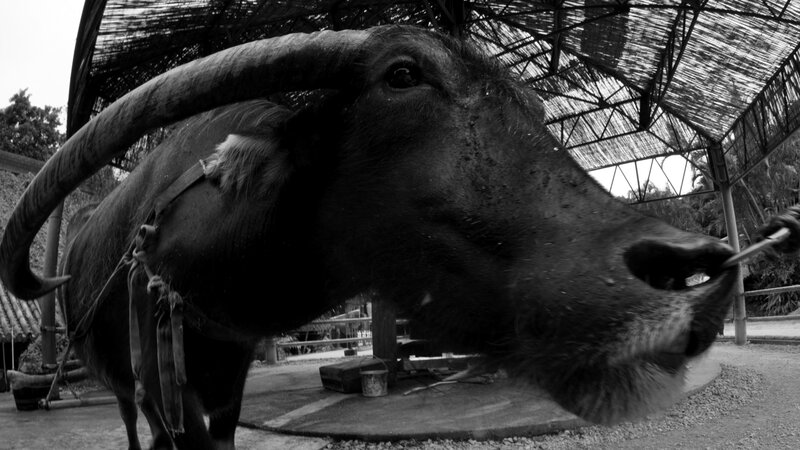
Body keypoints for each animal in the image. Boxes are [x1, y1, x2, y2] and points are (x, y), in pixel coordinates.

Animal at [0, 26, 738, 449]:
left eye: (530, 105)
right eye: (402, 74)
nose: (688, 266)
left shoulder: (227, 379)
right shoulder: (161, 383)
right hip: (123, 388)